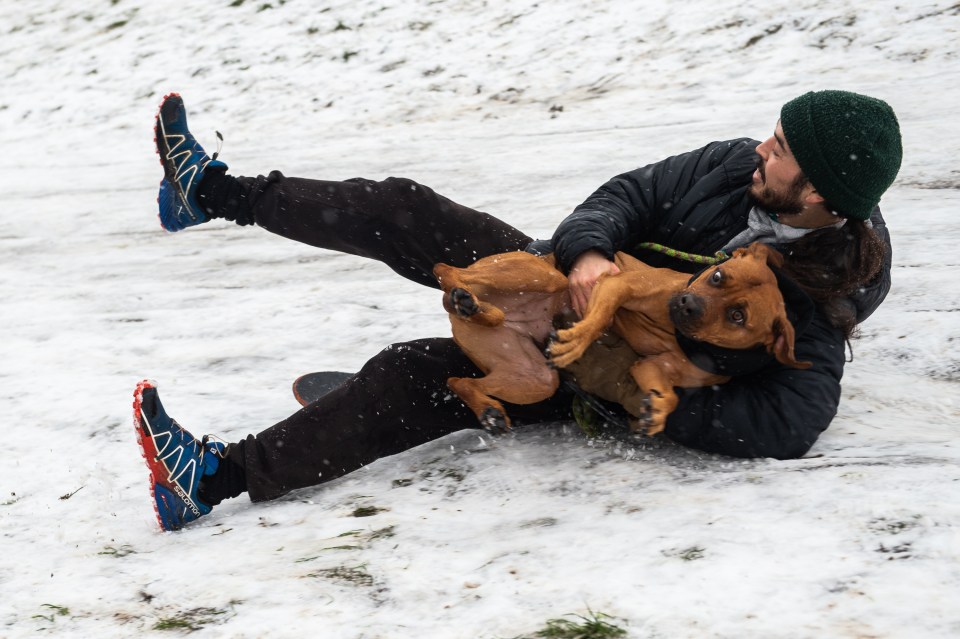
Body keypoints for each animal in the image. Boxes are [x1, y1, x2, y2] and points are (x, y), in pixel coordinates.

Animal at [436, 244, 808, 436]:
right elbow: (599, 316)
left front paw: (656, 412)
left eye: (737, 316)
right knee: (446, 270)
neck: (675, 333)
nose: (687, 303)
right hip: (544, 275)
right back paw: (465, 298)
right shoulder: (616, 285)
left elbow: (669, 396)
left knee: (459, 380)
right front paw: (577, 340)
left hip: (534, 379)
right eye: (718, 276)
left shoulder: (649, 368)